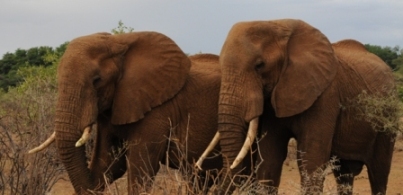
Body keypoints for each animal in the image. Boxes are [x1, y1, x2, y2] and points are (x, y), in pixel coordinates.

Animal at [200, 18, 400, 195]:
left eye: (259, 65)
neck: (279, 25)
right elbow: (270, 157)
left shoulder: (326, 94)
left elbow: (311, 159)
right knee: (344, 174)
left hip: (388, 118)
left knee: (379, 172)